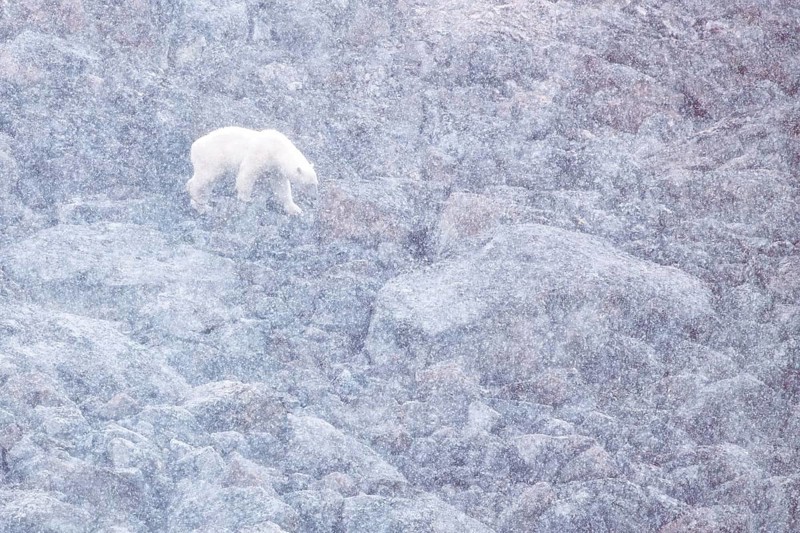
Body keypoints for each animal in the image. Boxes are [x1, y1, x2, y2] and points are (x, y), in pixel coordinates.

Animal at [186, 127, 318, 215]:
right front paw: (246, 199)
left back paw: (202, 204)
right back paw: (200, 202)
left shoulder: (276, 169)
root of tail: (194, 146)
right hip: (212, 157)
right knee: (205, 179)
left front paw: (295, 209)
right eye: (310, 184)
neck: (278, 150)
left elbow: (281, 187)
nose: (315, 197)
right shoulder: (261, 153)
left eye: (316, 184)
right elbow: (248, 173)